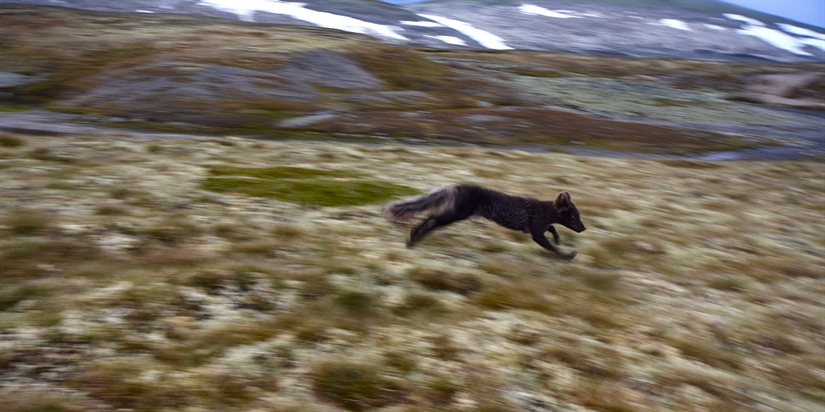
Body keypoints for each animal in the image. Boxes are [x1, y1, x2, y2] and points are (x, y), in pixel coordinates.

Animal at [384, 185, 584, 260]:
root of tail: (454, 186)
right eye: (574, 216)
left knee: (429, 218)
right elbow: (552, 247)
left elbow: (552, 228)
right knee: (430, 220)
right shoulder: (535, 233)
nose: (584, 228)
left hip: (452, 213)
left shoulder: (534, 229)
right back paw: (412, 238)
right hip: (456, 214)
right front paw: (567, 255)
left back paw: (412, 240)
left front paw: (558, 239)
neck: (545, 210)